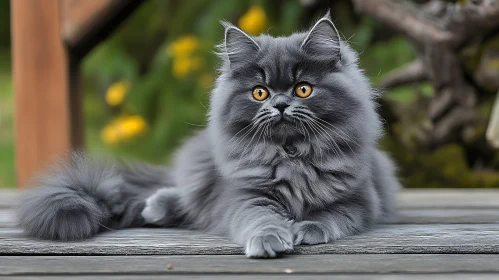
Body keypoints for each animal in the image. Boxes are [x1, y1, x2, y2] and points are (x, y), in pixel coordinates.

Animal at [19, 13, 400, 258]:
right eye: (259, 92)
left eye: (303, 89)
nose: (279, 104)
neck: (292, 155)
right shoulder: (244, 196)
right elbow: (259, 219)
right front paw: (270, 239)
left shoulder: (360, 198)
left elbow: (331, 214)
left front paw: (307, 228)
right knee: (188, 195)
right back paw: (157, 206)